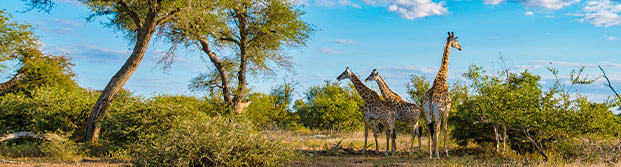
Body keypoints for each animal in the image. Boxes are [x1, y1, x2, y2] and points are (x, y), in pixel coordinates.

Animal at [424, 31, 458, 159]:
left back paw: (430, 154)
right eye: (456, 41)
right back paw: (437, 155)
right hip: (438, 111)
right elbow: (445, 128)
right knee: (437, 128)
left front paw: (433, 151)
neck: (442, 77)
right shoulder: (447, 108)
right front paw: (446, 152)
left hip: (427, 111)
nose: (460, 47)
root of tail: (431, 99)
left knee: (429, 127)